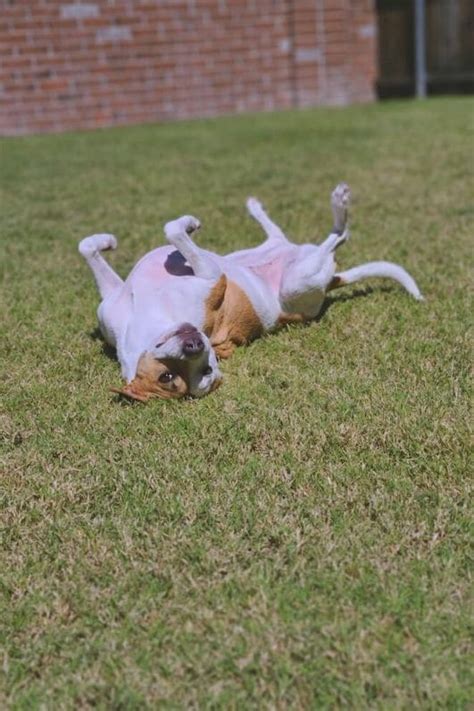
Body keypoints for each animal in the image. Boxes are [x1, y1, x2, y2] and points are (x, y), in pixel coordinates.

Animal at [79, 184, 424, 400]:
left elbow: (88, 246)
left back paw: (257, 207)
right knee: (339, 235)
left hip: (264, 254)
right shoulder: (211, 277)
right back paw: (338, 206)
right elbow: (172, 231)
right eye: (169, 377)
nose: (194, 343)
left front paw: (106, 241)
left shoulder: (114, 299)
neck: (147, 316)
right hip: (297, 281)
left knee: (286, 234)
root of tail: (331, 281)